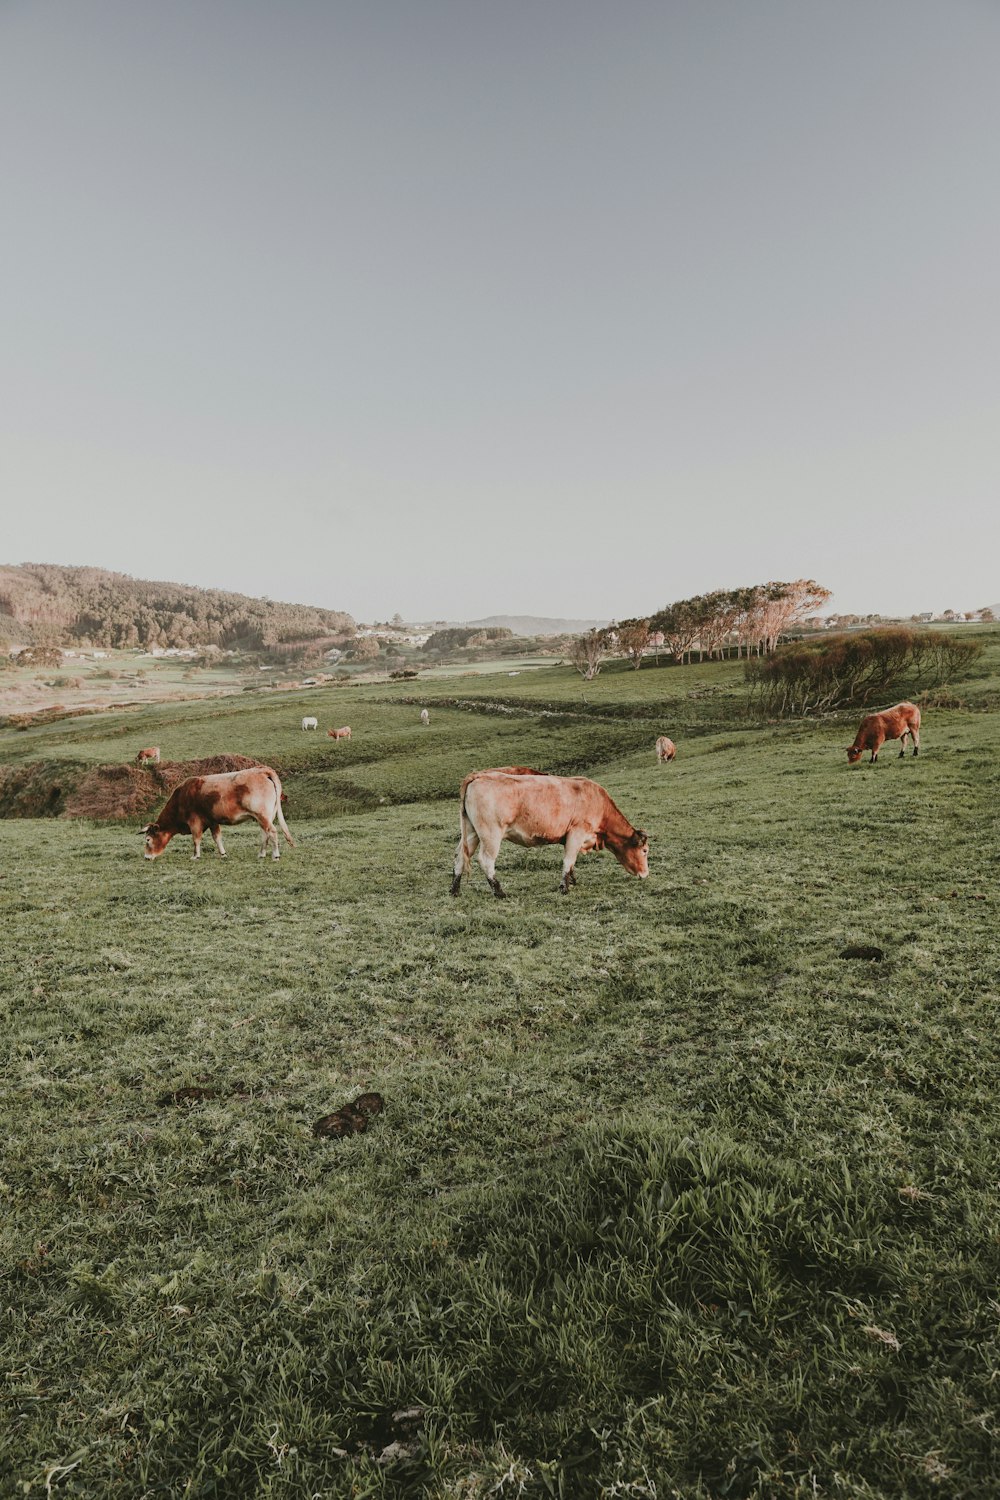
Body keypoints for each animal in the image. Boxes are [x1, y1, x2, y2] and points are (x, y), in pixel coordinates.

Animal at [142, 768, 295, 864]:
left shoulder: (194, 822)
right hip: (264, 817)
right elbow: (217, 838)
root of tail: (263, 770)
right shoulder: (212, 821)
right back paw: (261, 854)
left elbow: (196, 839)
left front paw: (195, 856)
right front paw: (223, 854)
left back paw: (275, 856)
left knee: (272, 832)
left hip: (262, 815)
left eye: (148, 840)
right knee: (265, 834)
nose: (146, 857)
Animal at [452, 768, 650, 894]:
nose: (645, 874)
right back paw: (500, 892)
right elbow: (568, 860)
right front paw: (564, 888)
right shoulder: (576, 832)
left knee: (460, 856)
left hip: (472, 832)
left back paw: (455, 890)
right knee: (486, 860)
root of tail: (479, 775)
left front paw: (572, 881)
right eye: (645, 851)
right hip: (491, 834)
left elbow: (572, 862)